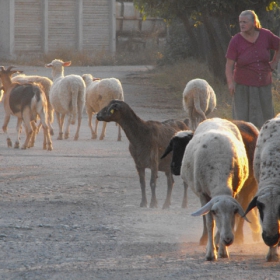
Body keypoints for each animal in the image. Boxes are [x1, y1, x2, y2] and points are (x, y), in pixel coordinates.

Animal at [172, 117, 248, 260]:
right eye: (215, 211)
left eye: (235, 211)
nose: (228, 239)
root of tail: (216, 118)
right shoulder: (203, 194)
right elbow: (209, 223)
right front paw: (210, 253)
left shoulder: (234, 192)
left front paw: (222, 250)